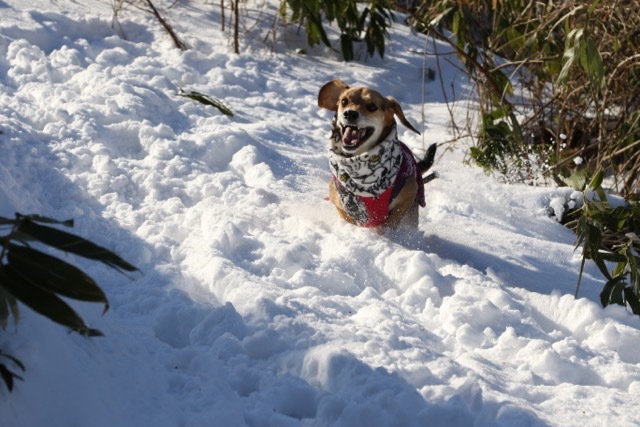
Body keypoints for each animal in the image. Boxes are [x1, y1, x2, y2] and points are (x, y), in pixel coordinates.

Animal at [318, 77, 438, 231]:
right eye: (344, 101)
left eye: (372, 106)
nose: (350, 113)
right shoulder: (339, 199)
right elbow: (349, 217)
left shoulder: (409, 191)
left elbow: (391, 221)